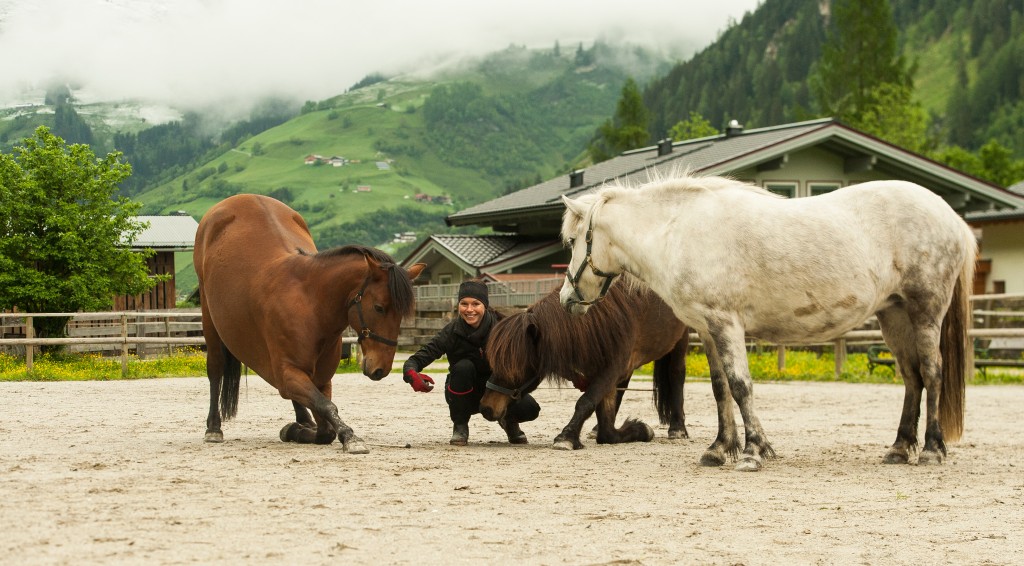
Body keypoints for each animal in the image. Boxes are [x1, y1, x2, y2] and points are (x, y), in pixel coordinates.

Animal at [193, 194, 421, 454]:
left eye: (401, 314)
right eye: (379, 307)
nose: (380, 369)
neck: (311, 305)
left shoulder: (320, 378)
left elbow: (325, 421)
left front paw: (300, 430)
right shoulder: (287, 373)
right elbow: (327, 407)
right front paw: (350, 437)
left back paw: (302, 422)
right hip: (210, 319)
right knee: (215, 369)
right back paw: (213, 428)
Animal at [477, 278, 688, 450]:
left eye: (515, 368)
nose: (486, 408)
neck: (603, 322)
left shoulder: (611, 369)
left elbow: (586, 402)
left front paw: (567, 437)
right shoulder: (603, 371)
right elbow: (607, 430)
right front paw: (639, 429)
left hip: (680, 340)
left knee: (676, 375)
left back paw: (678, 428)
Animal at [561, 172, 974, 472]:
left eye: (572, 241)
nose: (567, 300)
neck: (679, 231)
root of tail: (951, 218)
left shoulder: (726, 324)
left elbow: (741, 386)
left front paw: (753, 451)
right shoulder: (708, 330)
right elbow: (720, 389)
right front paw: (719, 449)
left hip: (925, 312)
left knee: (932, 373)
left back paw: (932, 450)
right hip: (894, 316)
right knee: (911, 378)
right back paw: (900, 448)